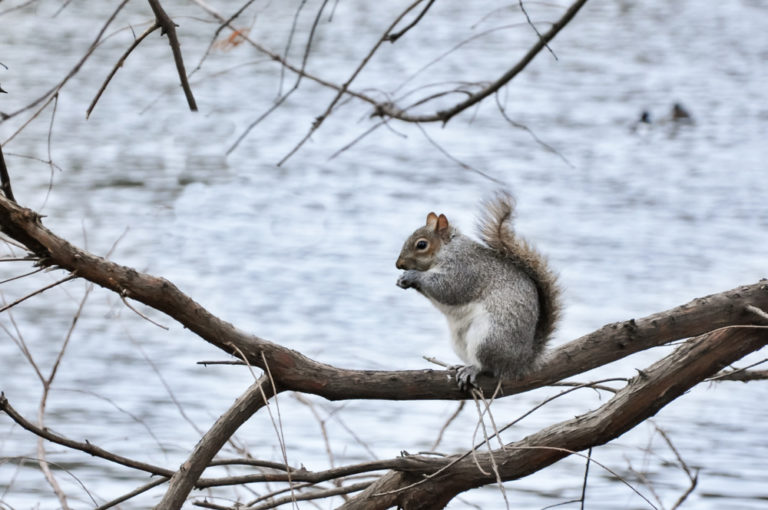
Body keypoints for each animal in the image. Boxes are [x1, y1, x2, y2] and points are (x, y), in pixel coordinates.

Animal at [395, 192, 561, 390]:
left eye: (421, 245)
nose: (398, 264)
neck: (447, 249)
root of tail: (520, 361)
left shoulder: (464, 268)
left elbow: (448, 288)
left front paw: (413, 276)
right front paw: (402, 279)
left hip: (488, 337)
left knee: (489, 367)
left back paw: (473, 369)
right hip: (460, 340)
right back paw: (460, 366)